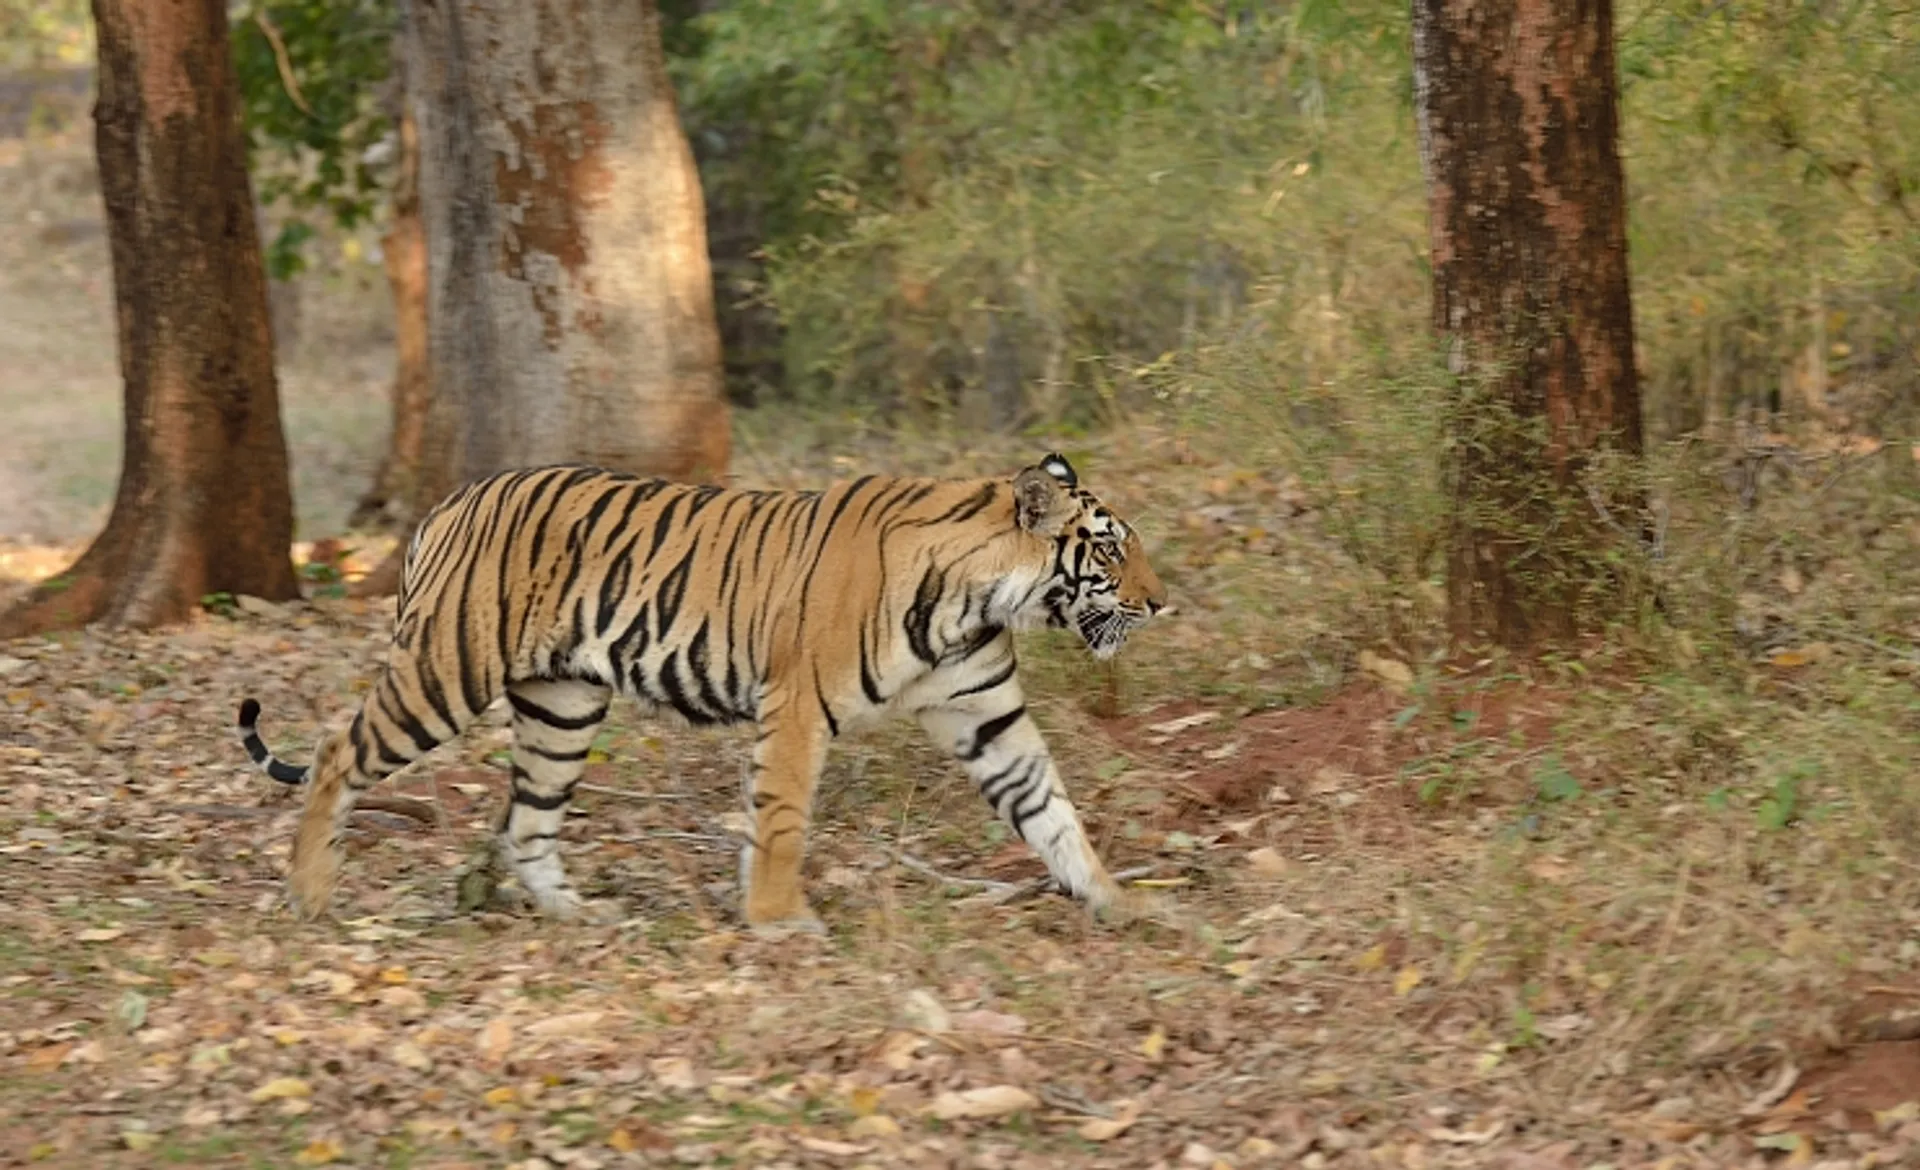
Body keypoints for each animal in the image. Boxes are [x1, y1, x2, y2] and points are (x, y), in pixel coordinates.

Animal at [237, 453, 1167, 932]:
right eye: (1111, 549)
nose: (1164, 604)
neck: (977, 598)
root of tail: (448, 503)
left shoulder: (987, 712)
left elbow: (1050, 809)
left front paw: (1116, 902)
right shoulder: (797, 706)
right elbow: (782, 819)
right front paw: (779, 920)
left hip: (562, 706)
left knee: (528, 819)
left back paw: (577, 915)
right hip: (447, 670)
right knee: (338, 749)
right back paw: (308, 894)